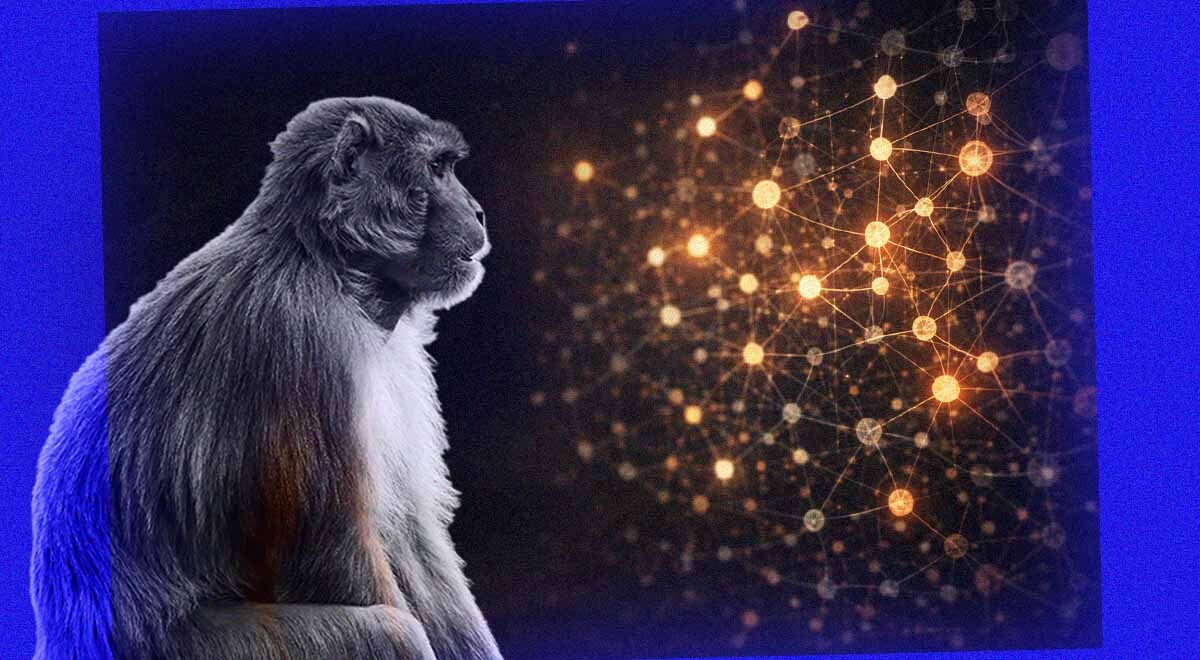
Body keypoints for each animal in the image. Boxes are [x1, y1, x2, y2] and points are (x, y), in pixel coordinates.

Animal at [30, 96, 504, 660]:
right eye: (437, 169)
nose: (477, 211)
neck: (328, 264)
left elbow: (411, 538)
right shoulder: (302, 341)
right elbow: (329, 553)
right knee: (393, 634)